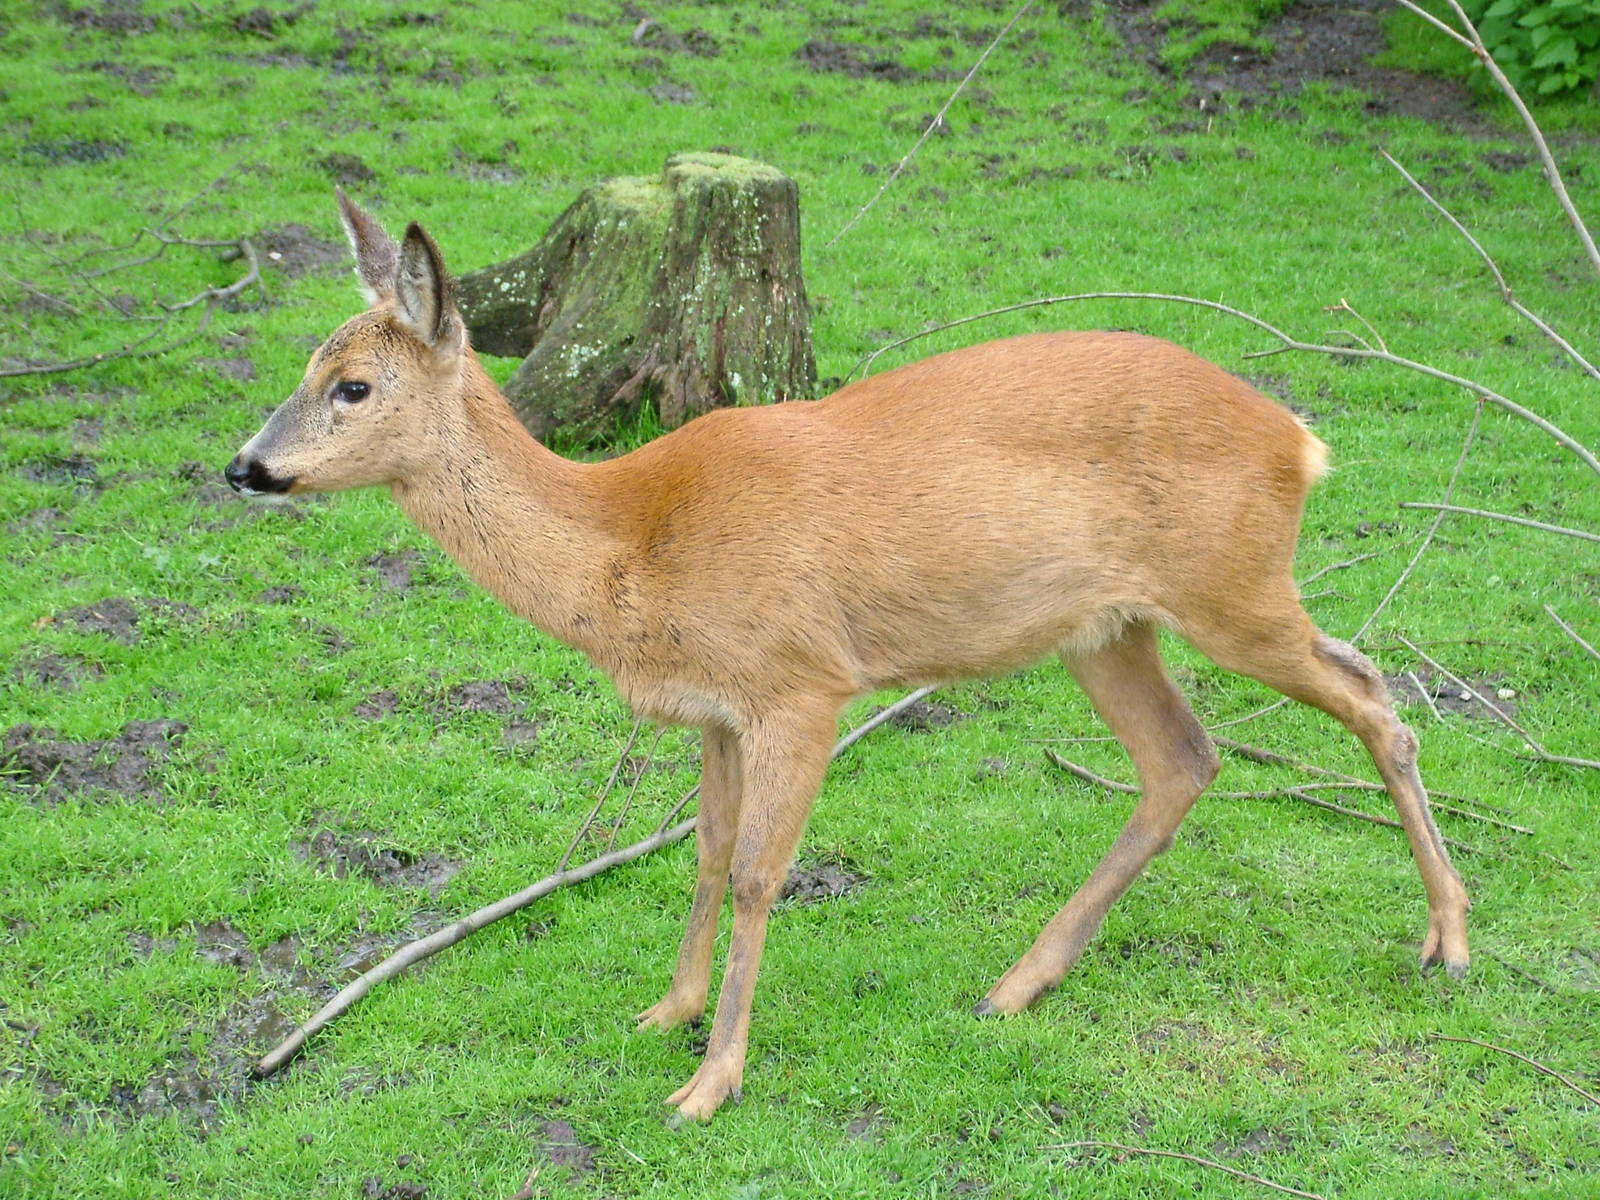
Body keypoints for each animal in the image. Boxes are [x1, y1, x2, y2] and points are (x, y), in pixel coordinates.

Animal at [225, 192, 1470, 1123]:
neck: (633, 540)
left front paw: (710, 1084)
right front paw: (667, 1012)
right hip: (1109, 628)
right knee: (1188, 758)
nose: (245, 466)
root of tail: (1299, 439)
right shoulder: (718, 706)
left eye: (352, 385)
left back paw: (1447, 943)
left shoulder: (801, 682)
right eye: (305, 364)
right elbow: (703, 852)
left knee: (1374, 696)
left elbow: (757, 872)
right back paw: (1017, 984)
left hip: (1229, 587)